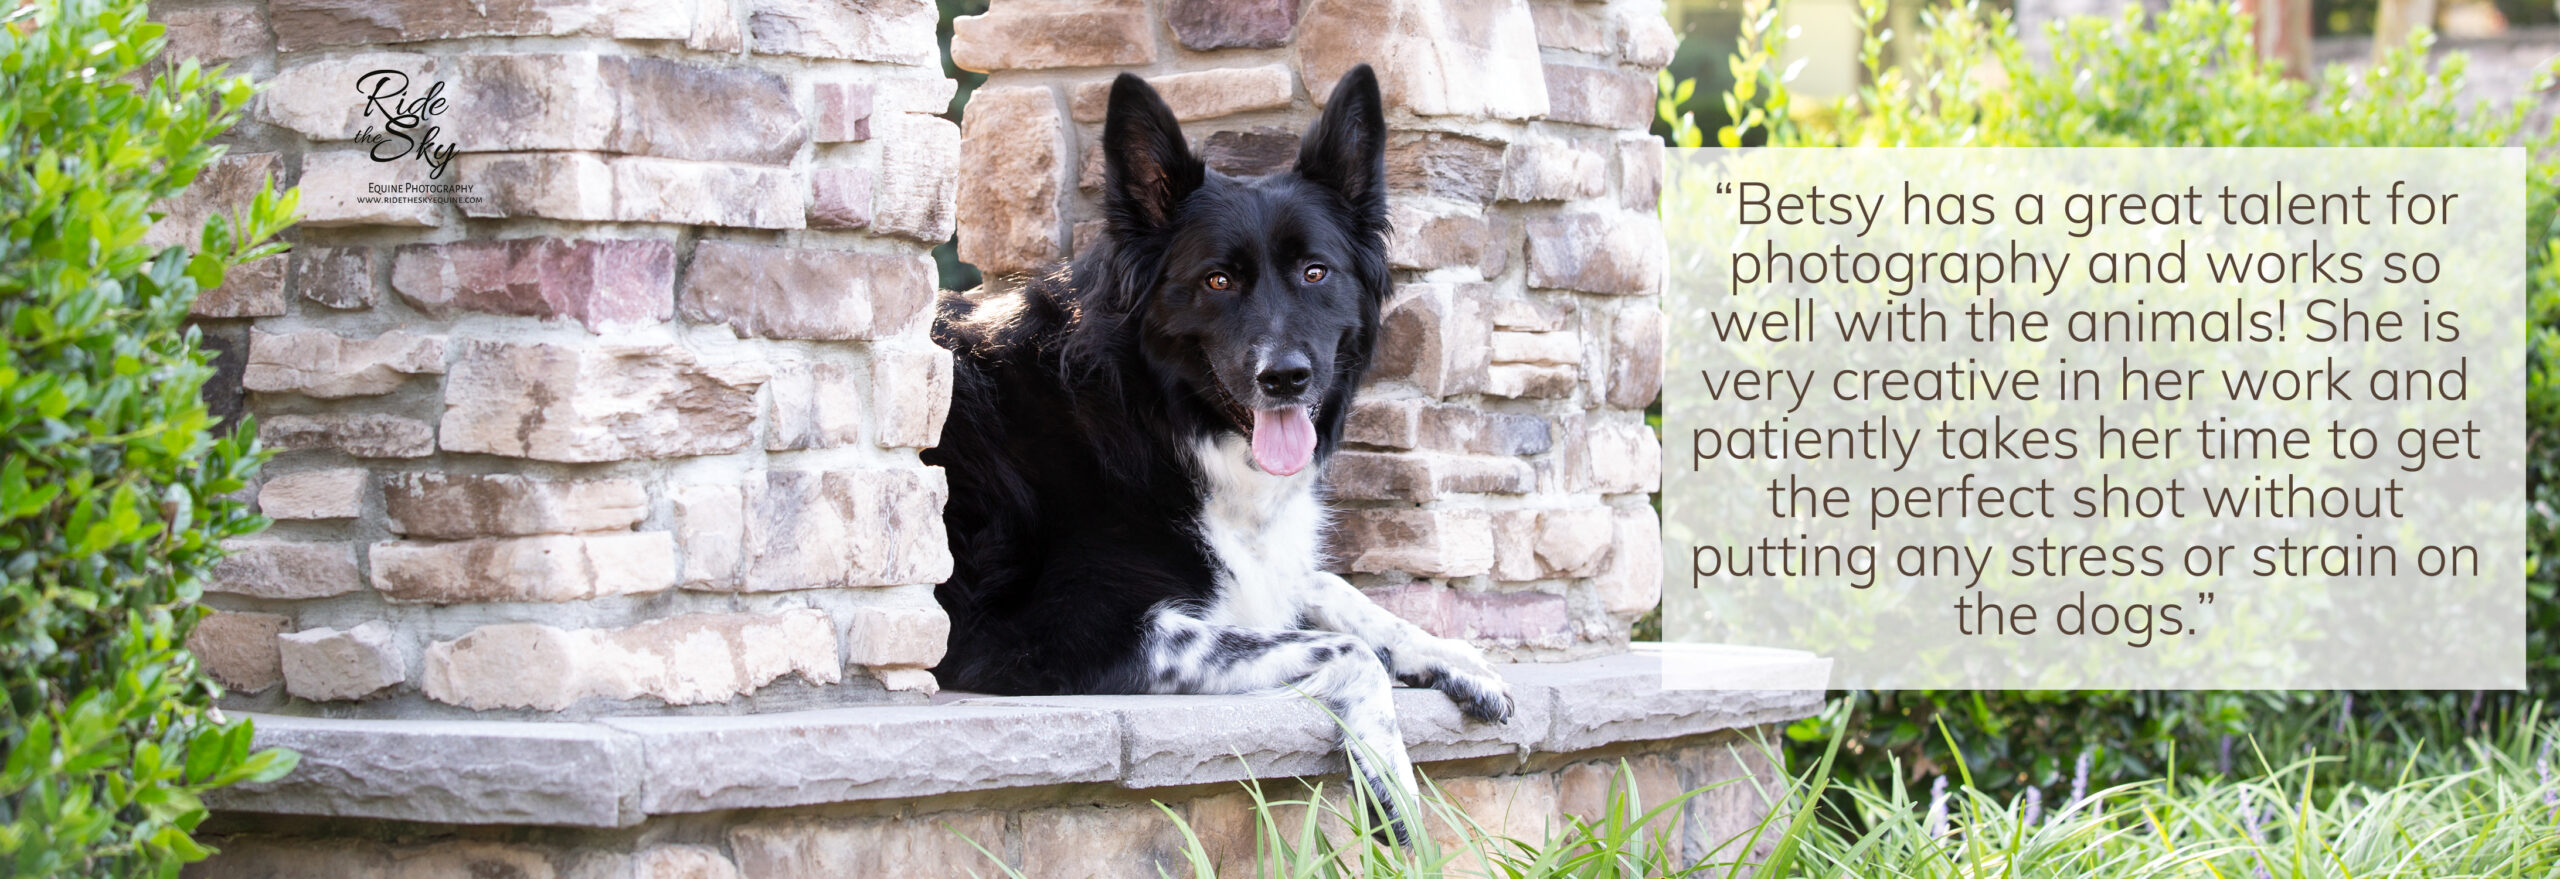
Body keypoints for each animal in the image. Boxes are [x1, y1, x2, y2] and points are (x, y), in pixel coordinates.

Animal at [926, 65, 1505, 835]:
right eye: (1217, 280)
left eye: (1316, 272)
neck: (1143, 414)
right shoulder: (1056, 637)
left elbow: (1327, 586)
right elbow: (1348, 649)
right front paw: (1389, 779)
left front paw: (1450, 653)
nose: (1285, 378)